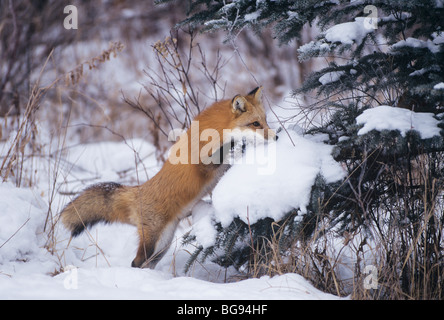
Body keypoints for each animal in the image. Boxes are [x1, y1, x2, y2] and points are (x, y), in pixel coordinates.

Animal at [60, 86, 276, 268]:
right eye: (255, 124)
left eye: (265, 121)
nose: (276, 137)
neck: (217, 131)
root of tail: (138, 190)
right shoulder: (203, 164)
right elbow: (221, 154)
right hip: (153, 242)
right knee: (136, 262)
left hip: (162, 246)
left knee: (146, 263)